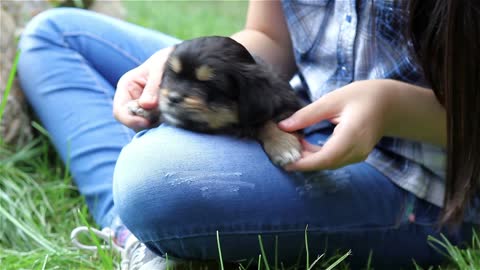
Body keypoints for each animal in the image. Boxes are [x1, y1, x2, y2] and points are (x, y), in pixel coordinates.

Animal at [129, 36, 302, 167]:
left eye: (208, 85)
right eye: (172, 75)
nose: (173, 98)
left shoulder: (288, 108)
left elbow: (267, 122)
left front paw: (283, 146)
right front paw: (144, 107)